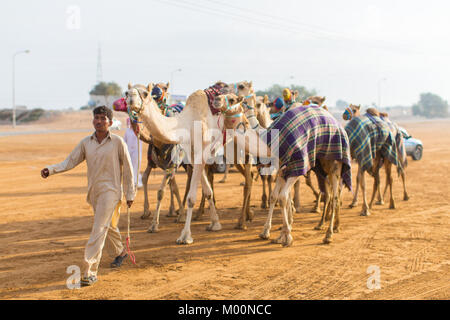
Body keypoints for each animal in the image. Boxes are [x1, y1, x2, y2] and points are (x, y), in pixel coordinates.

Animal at [216, 92, 354, 245]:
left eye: (232, 99)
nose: (216, 99)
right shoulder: (282, 168)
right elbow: (275, 196)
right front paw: (269, 233)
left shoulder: (296, 165)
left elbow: (283, 197)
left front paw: (287, 236)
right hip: (321, 167)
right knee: (330, 194)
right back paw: (328, 225)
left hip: (335, 164)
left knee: (335, 196)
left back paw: (329, 233)